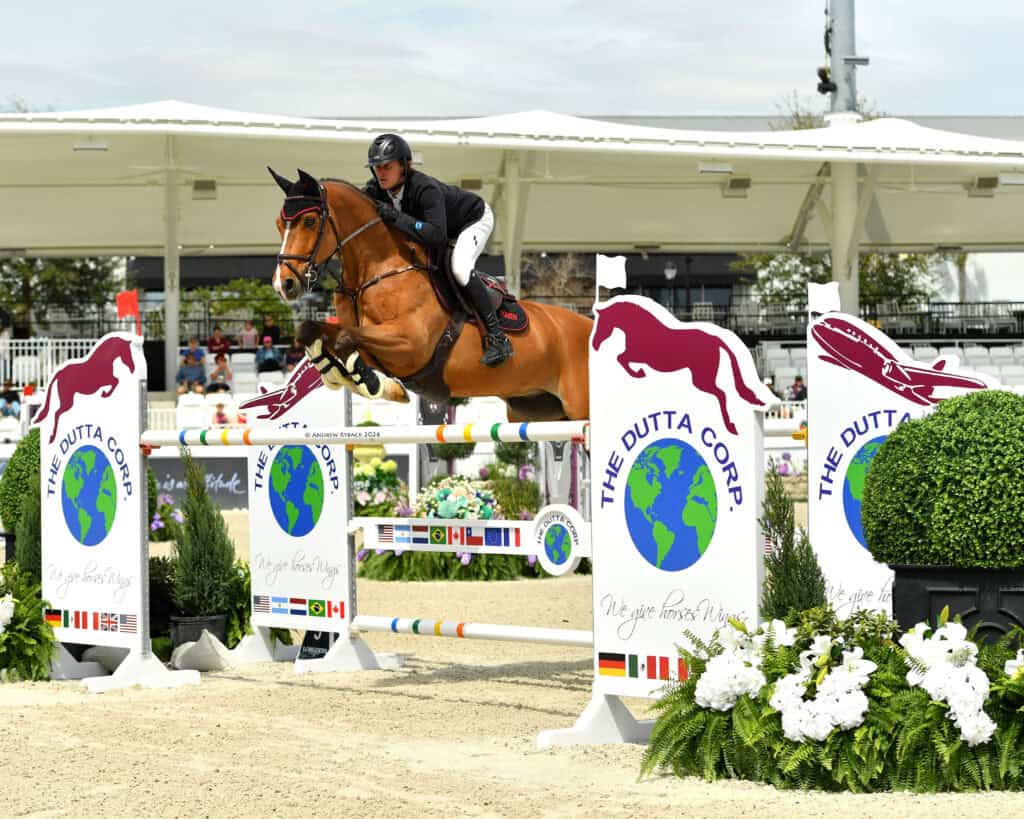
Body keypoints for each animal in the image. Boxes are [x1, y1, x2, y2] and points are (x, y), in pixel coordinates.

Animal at [268, 168, 592, 422]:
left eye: (310, 222)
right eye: (280, 224)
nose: (284, 284)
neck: (377, 270)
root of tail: (588, 323)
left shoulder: (410, 344)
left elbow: (347, 338)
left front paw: (370, 383)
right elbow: (313, 331)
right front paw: (342, 375)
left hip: (579, 410)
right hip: (536, 409)